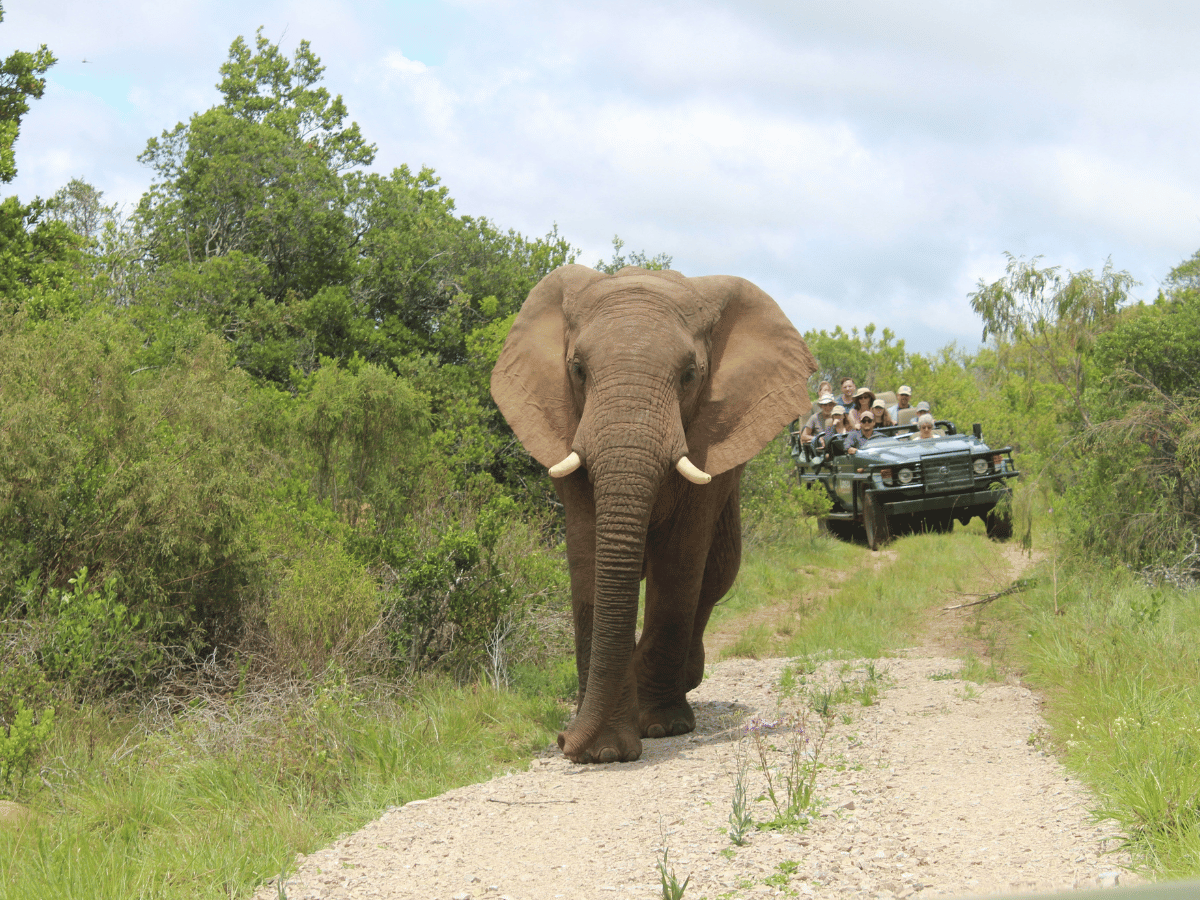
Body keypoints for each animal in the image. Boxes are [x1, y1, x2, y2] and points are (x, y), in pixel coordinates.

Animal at [490, 264, 815, 763]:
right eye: (577, 370)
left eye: (689, 375)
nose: (563, 741)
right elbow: (588, 557)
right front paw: (604, 750)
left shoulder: (708, 440)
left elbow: (680, 563)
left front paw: (660, 728)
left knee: (717, 574)